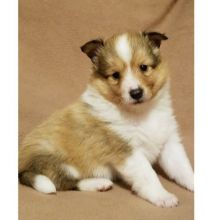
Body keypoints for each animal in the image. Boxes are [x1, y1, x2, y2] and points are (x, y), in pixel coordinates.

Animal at [19, 31, 194, 208]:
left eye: (143, 67)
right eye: (115, 75)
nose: (136, 93)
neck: (141, 112)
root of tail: (22, 168)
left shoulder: (169, 142)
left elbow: (183, 168)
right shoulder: (127, 151)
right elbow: (148, 175)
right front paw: (163, 197)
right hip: (60, 164)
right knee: (64, 183)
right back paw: (99, 183)